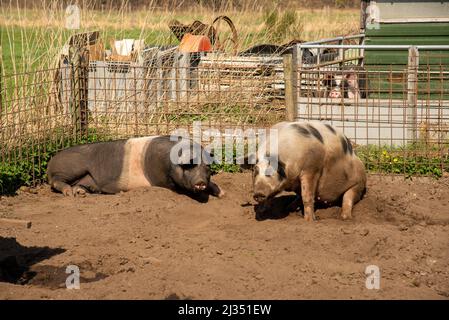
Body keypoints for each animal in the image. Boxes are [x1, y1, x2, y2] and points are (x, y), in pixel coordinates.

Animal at [46, 136, 223, 200]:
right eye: (188, 165)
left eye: (207, 167)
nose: (200, 182)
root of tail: (50, 162)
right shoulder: (160, 177)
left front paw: (222, 193)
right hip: (68, 168)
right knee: (56, 182)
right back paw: (69, 193)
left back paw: (80, 193)